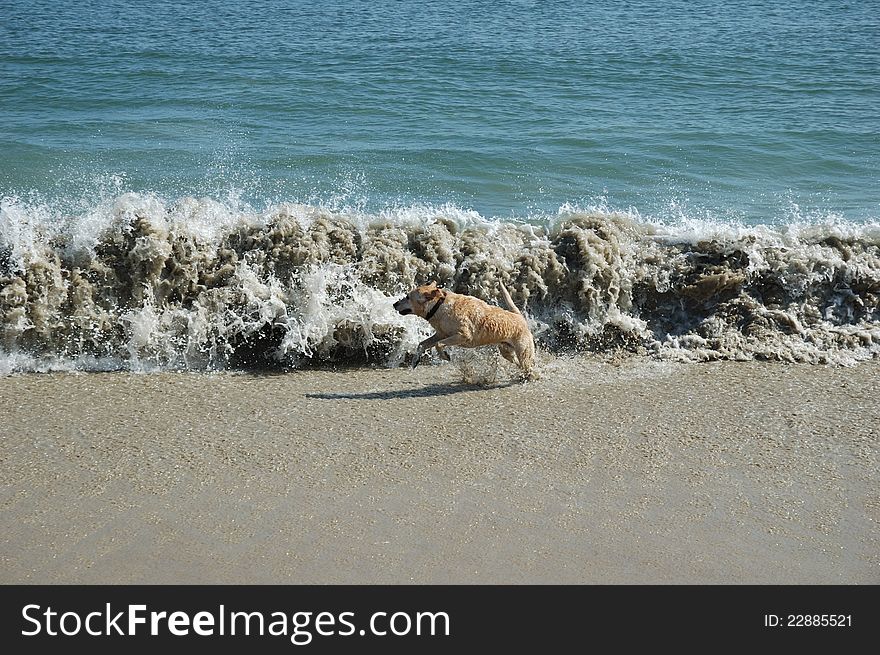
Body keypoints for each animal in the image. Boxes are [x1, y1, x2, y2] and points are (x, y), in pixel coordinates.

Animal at [394, 282, 536, 380]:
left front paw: (445, 355)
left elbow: (439, 345)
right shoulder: (440, 334)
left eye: (407, 297)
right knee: (517, 362)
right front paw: (415, 361)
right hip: (506, 351)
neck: (439, 305)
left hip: (523, 351)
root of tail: (519, 316)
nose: (394, 304)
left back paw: (530, 376)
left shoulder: (463, 335)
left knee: (527, 365)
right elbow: (422, 344)